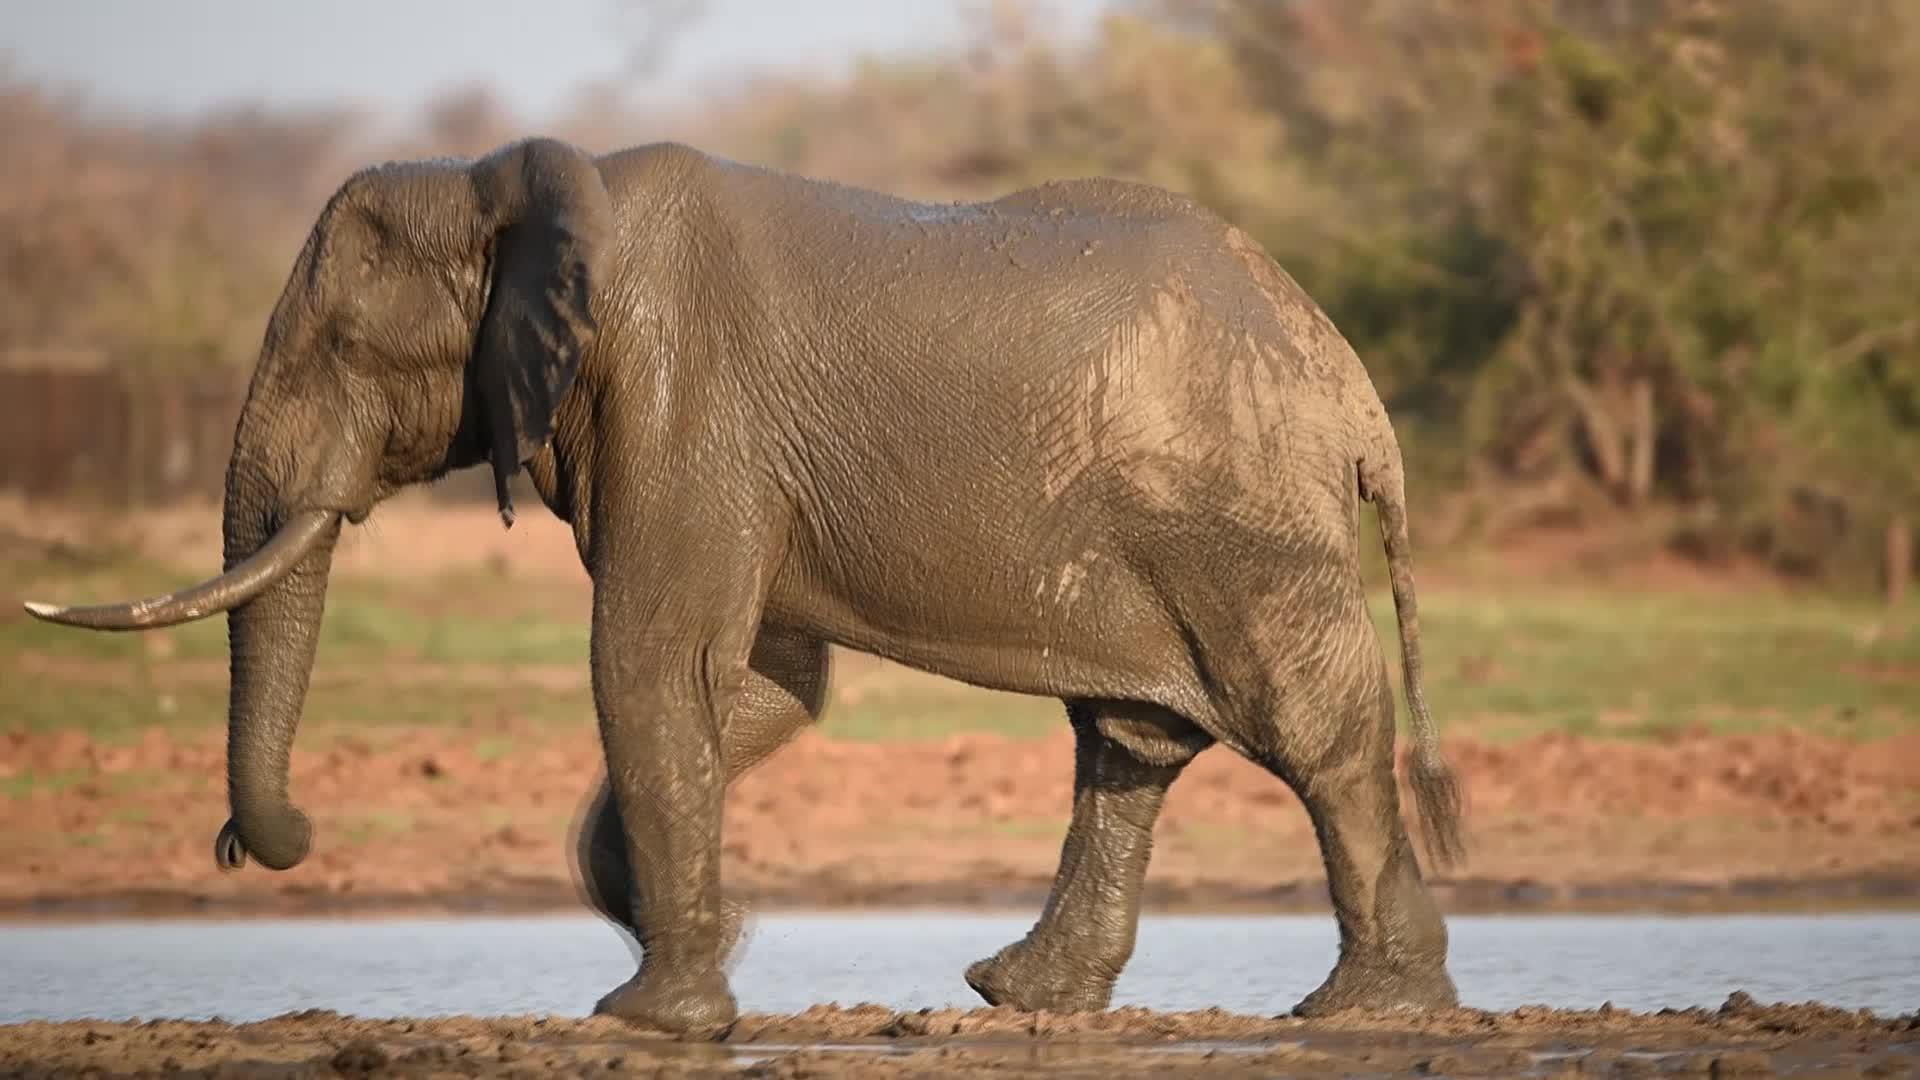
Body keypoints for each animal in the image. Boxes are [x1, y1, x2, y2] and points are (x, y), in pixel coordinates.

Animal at [22, 134, 1466, 1037]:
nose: (267, 842)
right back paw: (1024, 994)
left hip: (1244, 523)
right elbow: (762, 687)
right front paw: (720, 942)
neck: (528, 187)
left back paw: (1364, 1011)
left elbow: (653, 662)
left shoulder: (679, 399)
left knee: (1308, 732)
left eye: (339, 346)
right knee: (1134, 737)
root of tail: (1356, 397)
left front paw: (651, 1016)